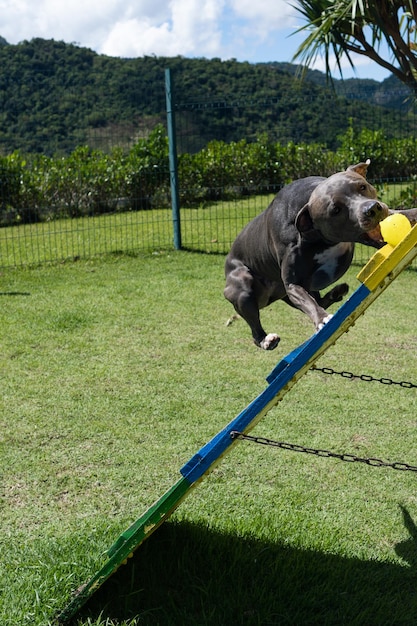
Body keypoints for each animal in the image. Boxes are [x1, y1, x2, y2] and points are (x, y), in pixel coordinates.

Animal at [224, 158, 416, 348]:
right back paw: (266, 340)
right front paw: (323, 319)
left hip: (288, 292)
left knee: (319, 299)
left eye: (362, 187)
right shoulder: (293, 284)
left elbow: (401, 213)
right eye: (336, 210)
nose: (372, 209)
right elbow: (308, 302)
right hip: (244, 288)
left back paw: (336, 292)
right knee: (256, 328)